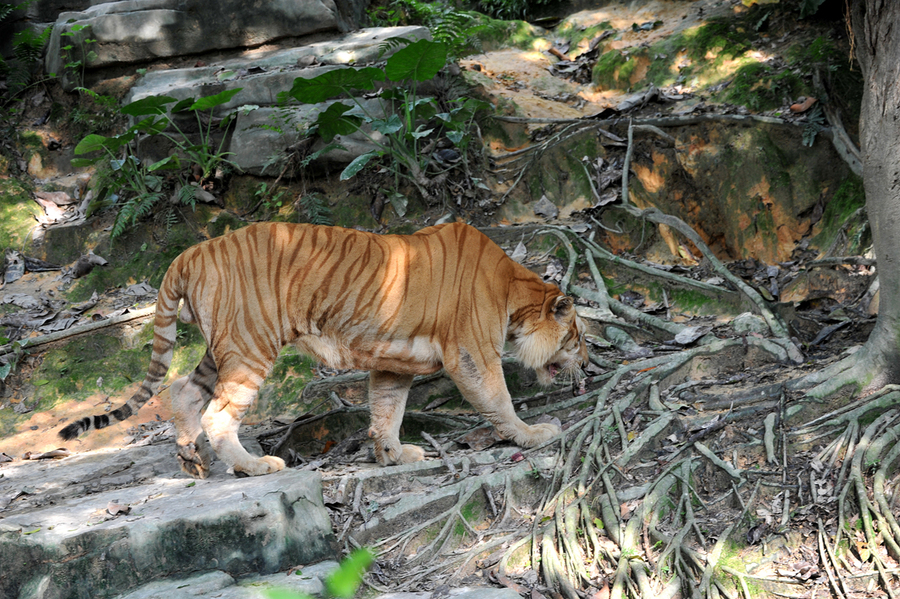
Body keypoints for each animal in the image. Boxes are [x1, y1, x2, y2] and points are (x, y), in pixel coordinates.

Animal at [58, 223, 592, 480]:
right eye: (579, 337)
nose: (589, 364)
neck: (513, 291)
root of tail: (191, 251)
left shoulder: (393, 364)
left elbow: (387, 410)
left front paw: (391, 454)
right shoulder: (471, 353)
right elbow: (497, 398)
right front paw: (533, 434)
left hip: (222, 347)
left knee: (183, 391)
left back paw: (192, 461)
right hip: (250, 348)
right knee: (217, 414)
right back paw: (254, 467)